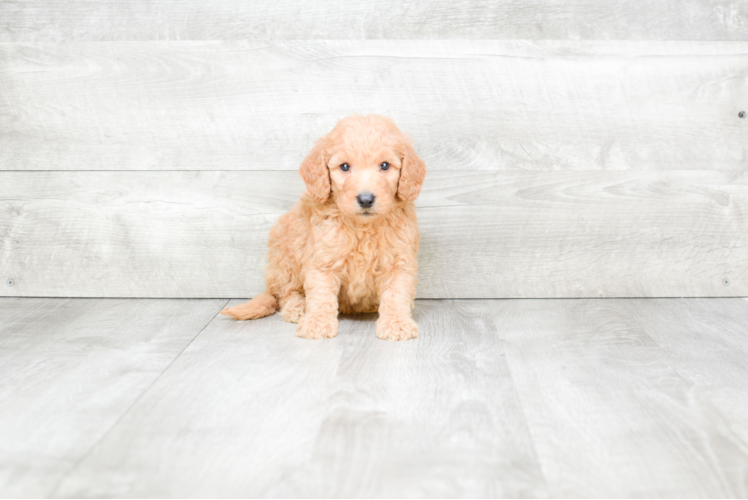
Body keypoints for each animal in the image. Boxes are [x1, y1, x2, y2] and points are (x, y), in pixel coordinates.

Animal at [219, 114, 424, 340]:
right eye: (344, 167)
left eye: (385, 165)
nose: (366, 199)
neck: (362, 227)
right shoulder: (322, 259)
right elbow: (321, 294)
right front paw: (317, 323)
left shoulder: (398, 261)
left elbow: (396, 293)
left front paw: (397, 323)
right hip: (285, 255)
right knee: (286, 292)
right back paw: (298, 308)